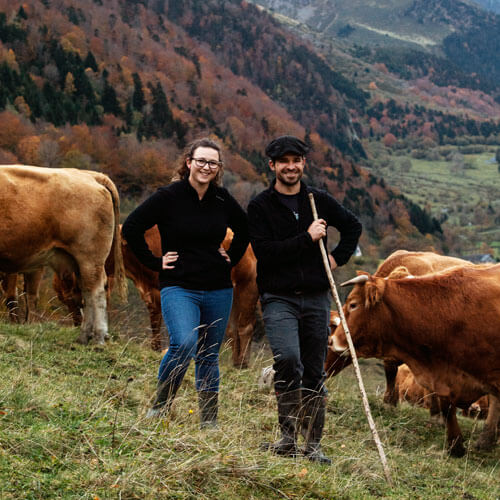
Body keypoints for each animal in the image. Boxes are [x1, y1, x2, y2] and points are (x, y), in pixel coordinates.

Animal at [0, 164, 126, 344]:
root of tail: (90, 176)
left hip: (90, 258)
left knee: (96, 292)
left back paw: (98, 337)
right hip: (77, 262)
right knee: (87, 292)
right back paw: (83, 336)